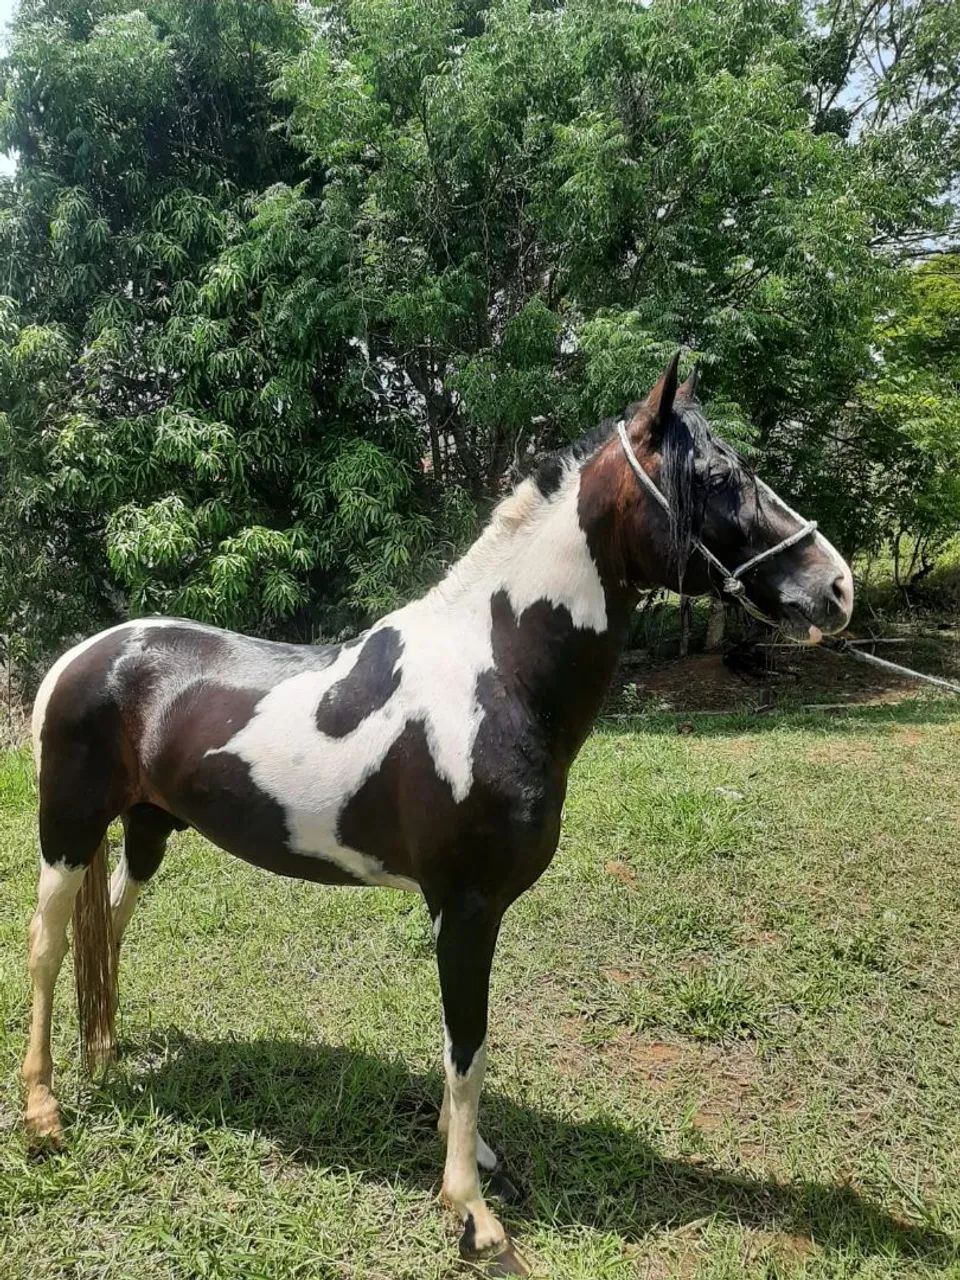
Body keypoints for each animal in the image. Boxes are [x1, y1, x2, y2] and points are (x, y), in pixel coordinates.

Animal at [22, 356, 853, 1275]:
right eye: (715, 477)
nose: (837, 587)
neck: (496, 675)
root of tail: (83, 656)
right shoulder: (467, 906)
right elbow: (468, 1046)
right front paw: (472, 1210)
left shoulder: (463, 910)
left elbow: (465, 1049)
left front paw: (475, 1161)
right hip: (65, 834)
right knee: (47, 950)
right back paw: (44, 1112)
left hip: (146, 831)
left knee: (109, 933)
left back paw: (104, 1056)